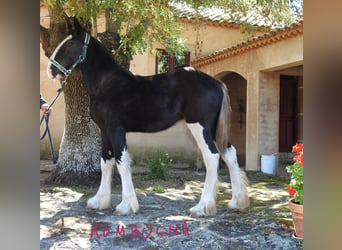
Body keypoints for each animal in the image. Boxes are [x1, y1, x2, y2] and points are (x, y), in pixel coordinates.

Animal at [46, 17, 248, 217]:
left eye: (70, 43)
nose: (50, 70)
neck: (107, 83)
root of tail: (216, 82)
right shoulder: (104, 130)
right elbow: (105, 162)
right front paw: (99, 201)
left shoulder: (116, 128)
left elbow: (121, 161)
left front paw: (126, 205)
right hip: (213, 129)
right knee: (229, 154)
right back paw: (236, 202)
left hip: (200, 127)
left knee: (212, 157)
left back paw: (202, 207)